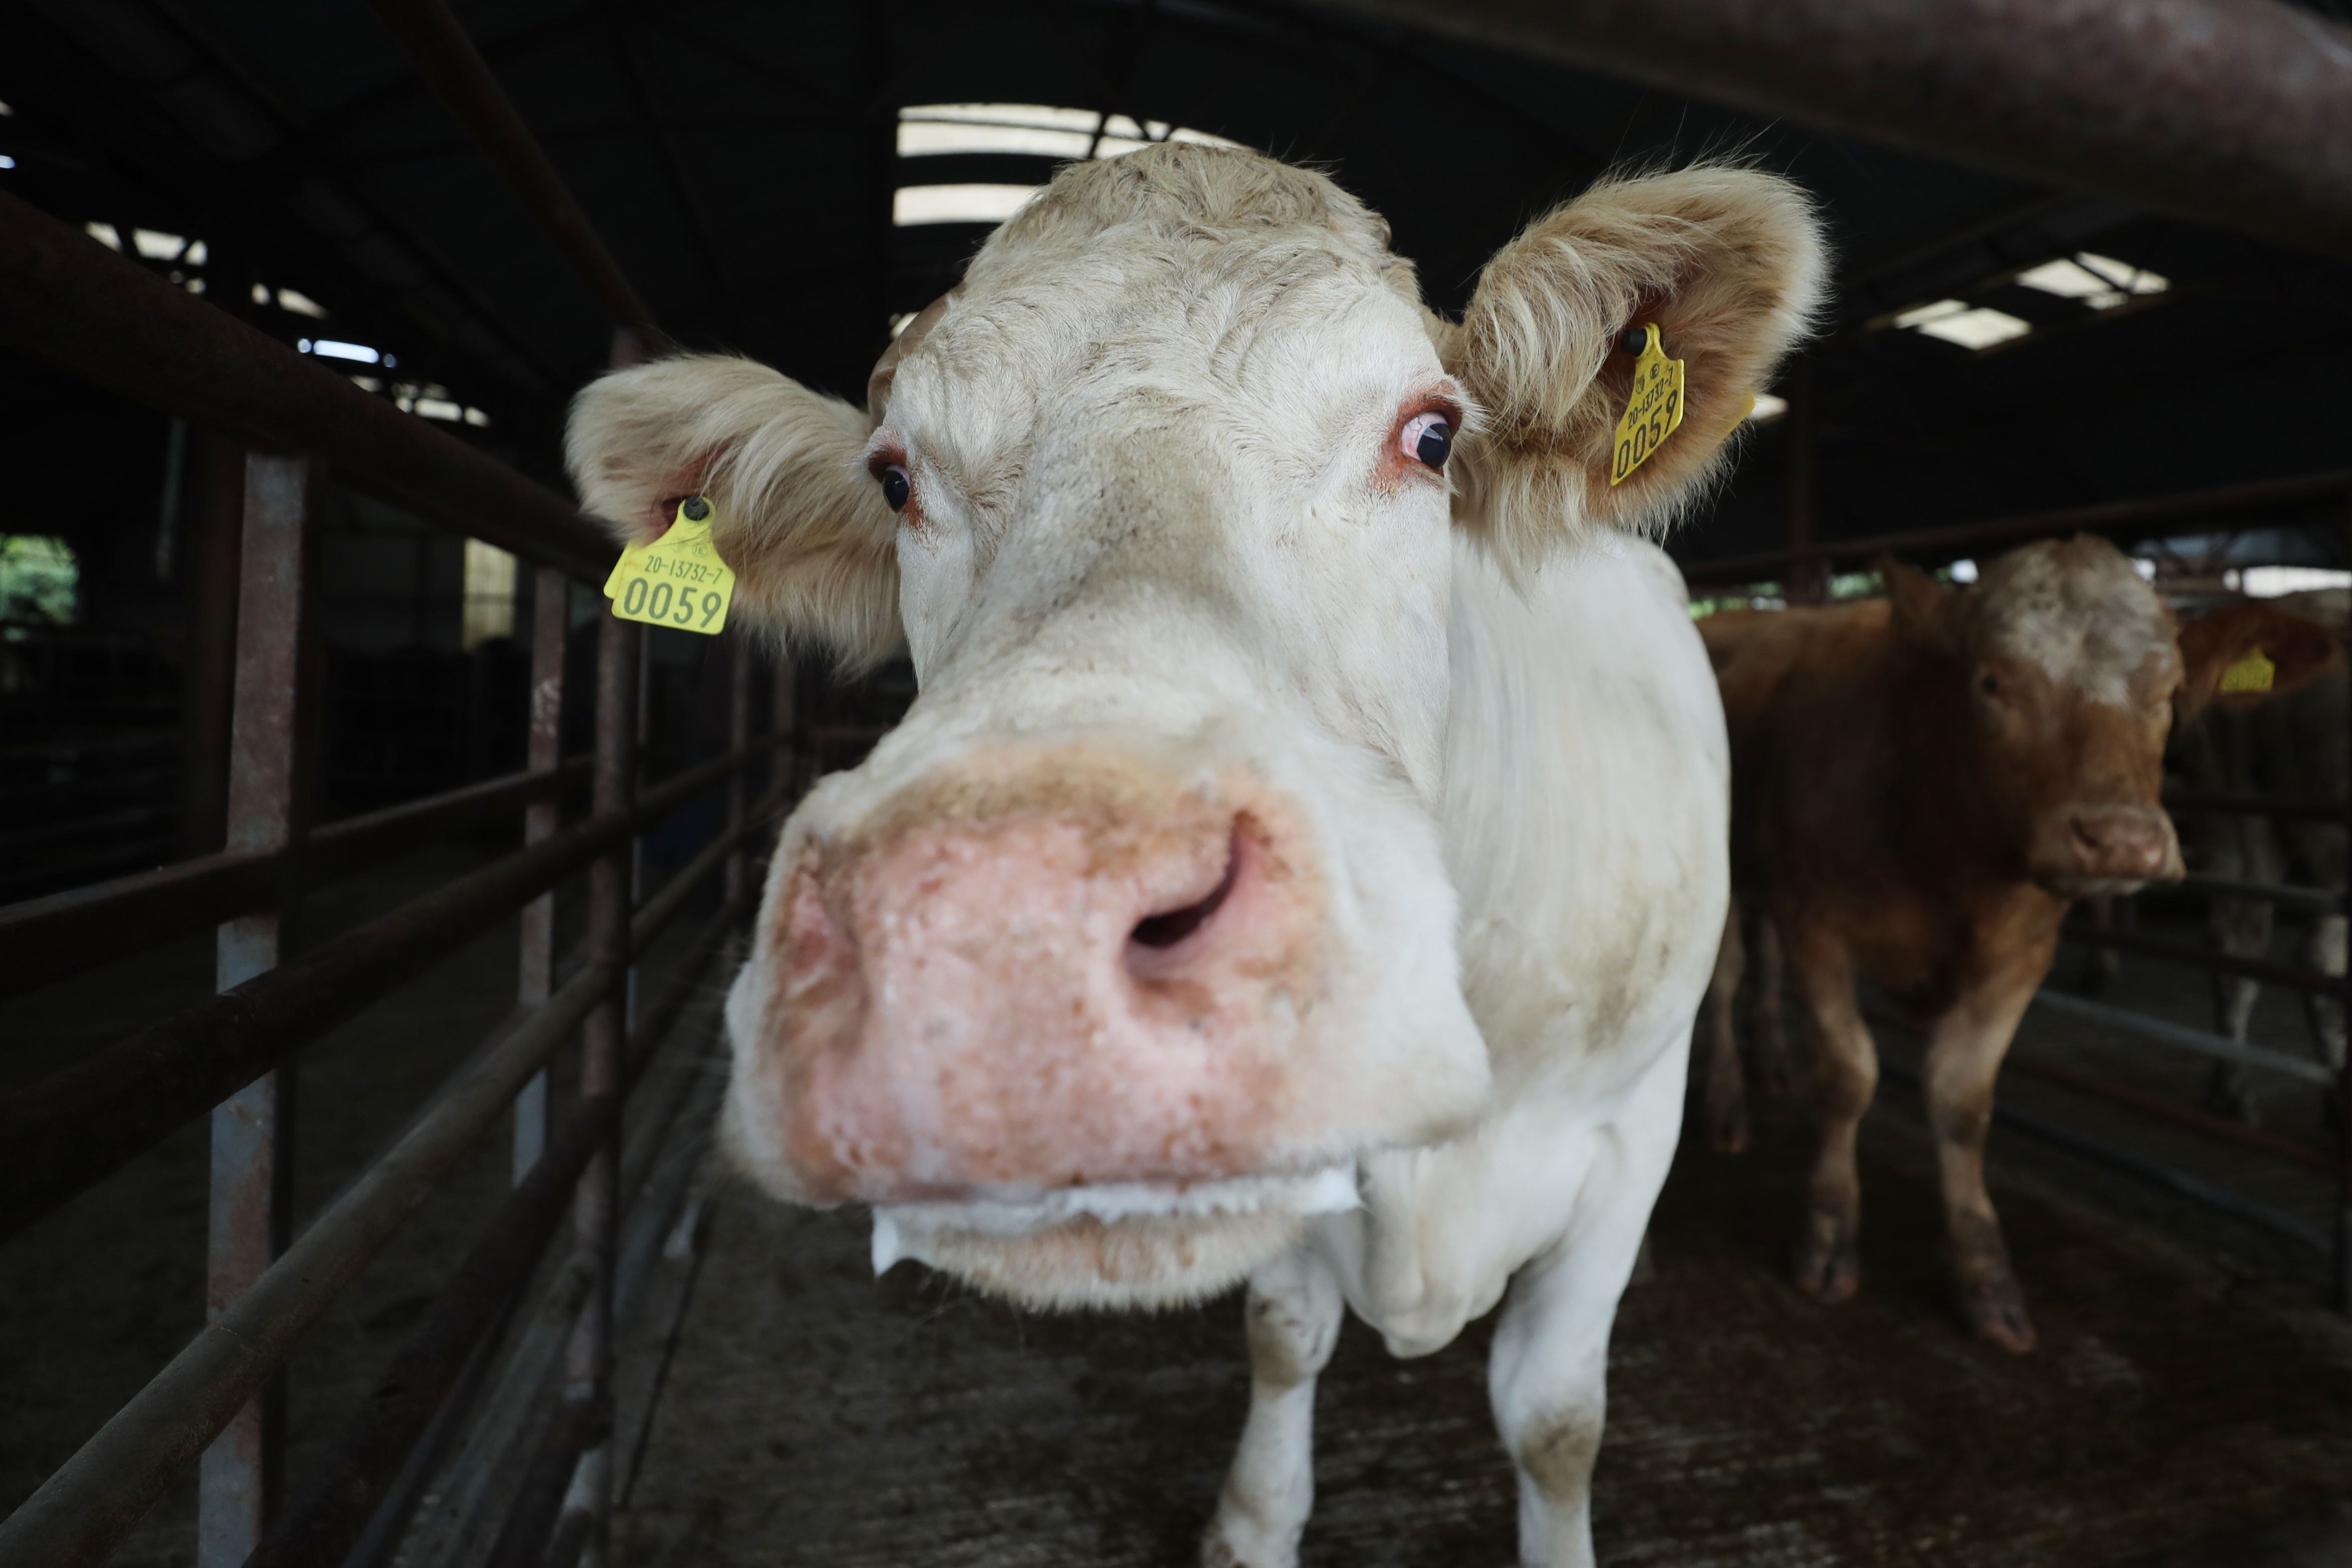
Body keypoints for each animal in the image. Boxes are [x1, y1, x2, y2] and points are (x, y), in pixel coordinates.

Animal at [569, 147, 1815, 1568]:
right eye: (894, 478)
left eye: (1431, 435)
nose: (1008, 928)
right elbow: (1285, 1334)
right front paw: (1251, 1521)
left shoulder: (1623, 1135)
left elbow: (1555, 1421)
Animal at [1693, 541, 2333, 1354]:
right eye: (1992, 681)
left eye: (2167, 688)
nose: (2120, 840)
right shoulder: (1818, 924)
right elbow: (1847, 1077)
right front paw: (1828, 1236)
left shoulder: (2021, 956)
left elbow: (1962, 1101)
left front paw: (1983, 1274)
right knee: (1725, 976)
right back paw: (1726, 1107)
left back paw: (1772, 1062)